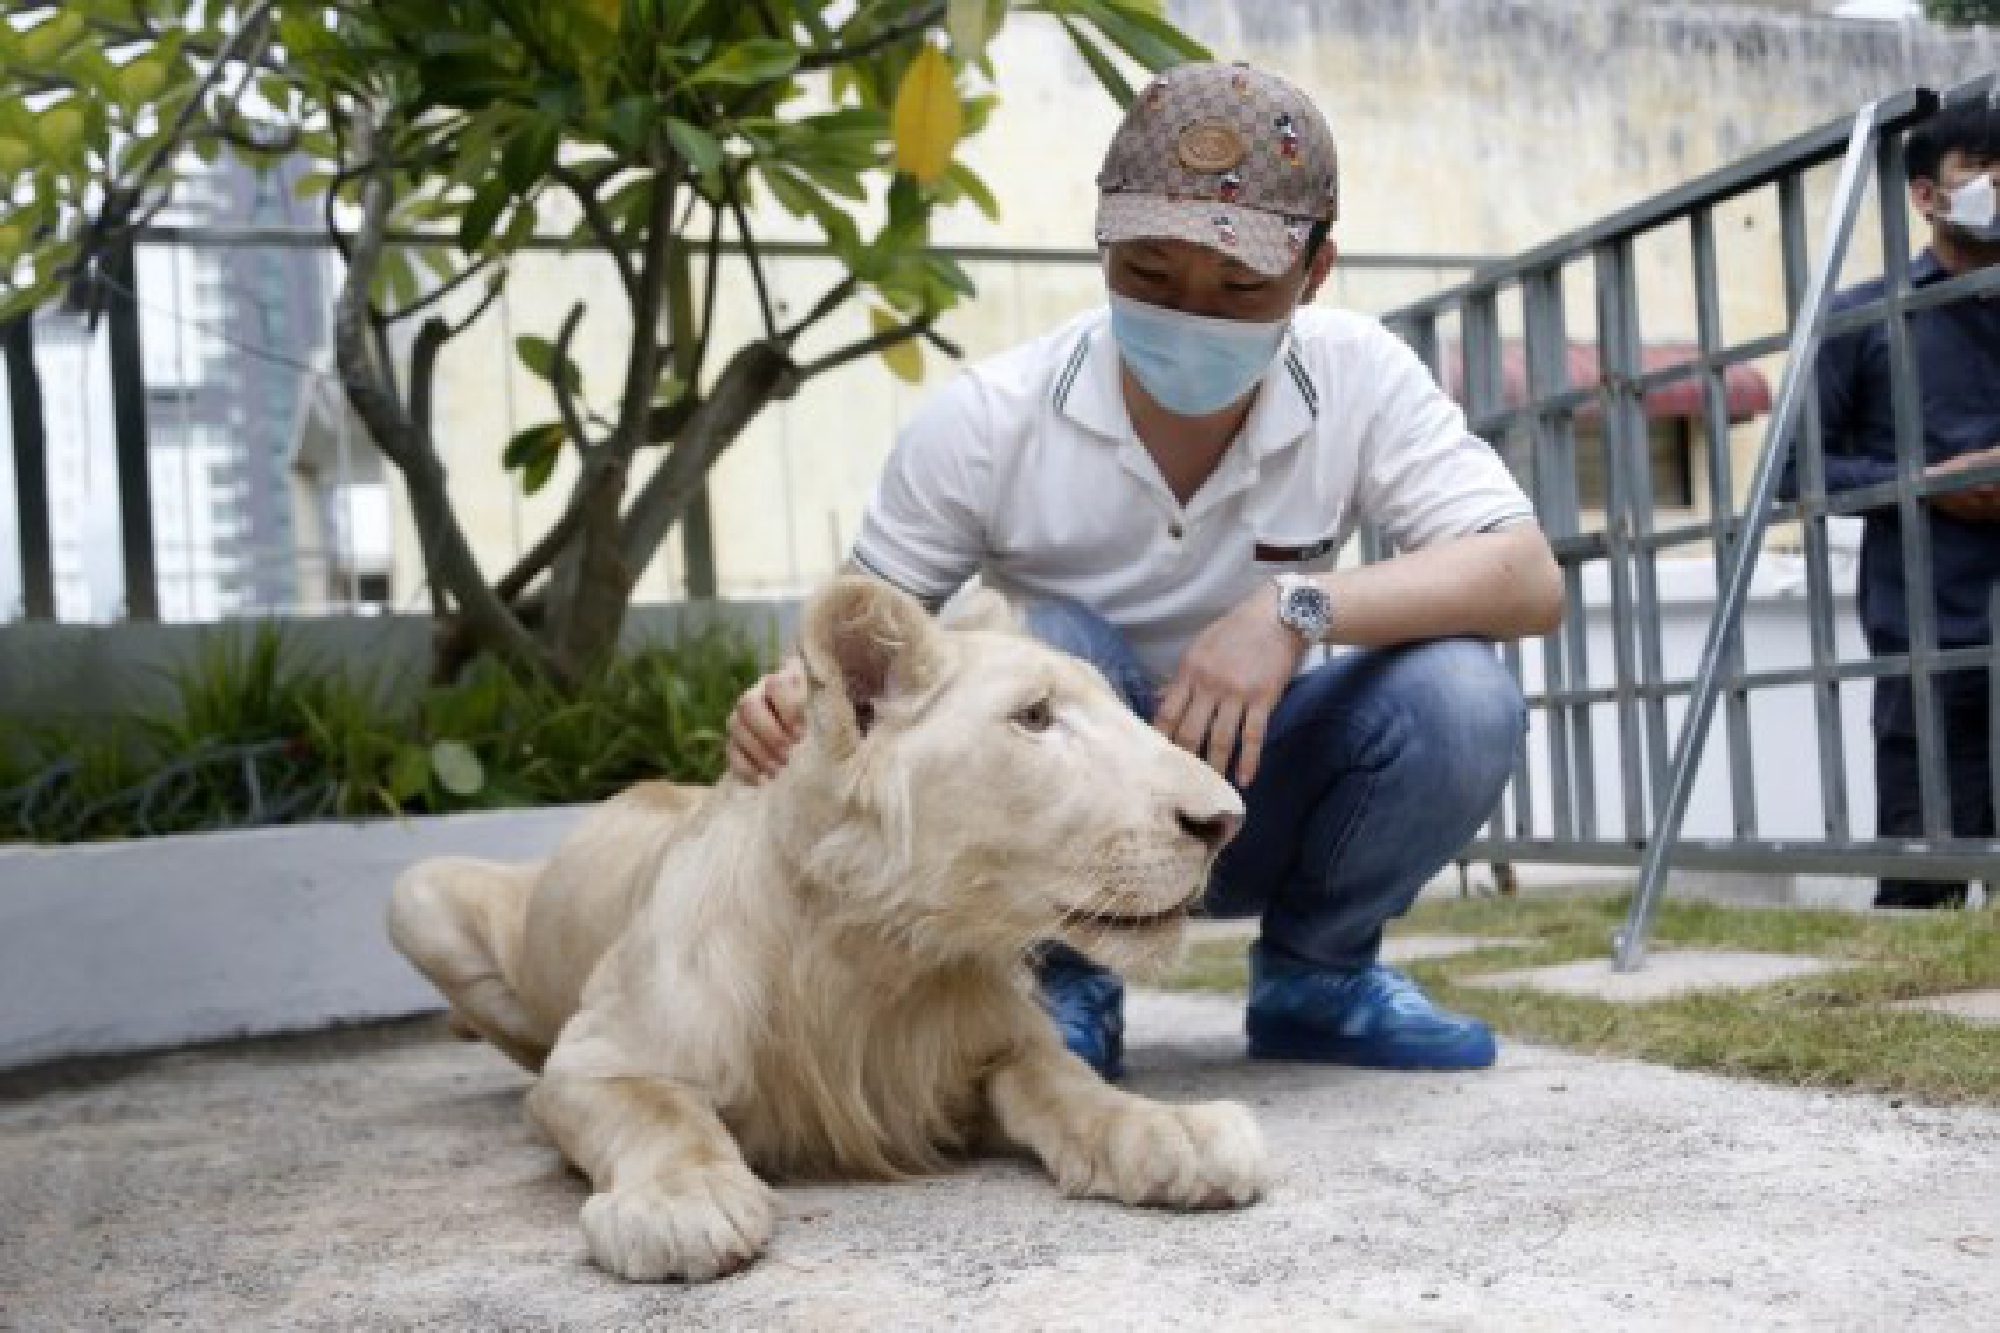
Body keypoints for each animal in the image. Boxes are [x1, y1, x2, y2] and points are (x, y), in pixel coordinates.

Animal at [387, 576, 1267, 1282]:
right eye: (1035, 717)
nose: (1226, 819)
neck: (881, 950)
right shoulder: (590, 1059)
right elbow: (662, 1113)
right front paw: (683, 1202)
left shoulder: (1004, 1046)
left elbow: (1075, 1085)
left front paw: (1175, 1130)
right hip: (412, 891)